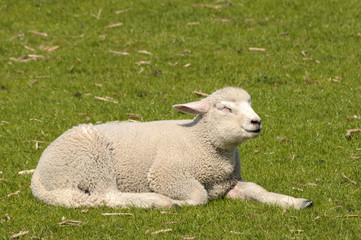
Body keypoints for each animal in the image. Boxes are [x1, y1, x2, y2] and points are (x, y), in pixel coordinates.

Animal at [31, 87, 312, 209]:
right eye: (225, 108)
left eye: (250, 103)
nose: (256, 122)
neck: (200, 141)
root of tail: (38, 173)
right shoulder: (166, 174)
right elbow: (199, 196)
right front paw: (179, 202)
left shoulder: (229, 183)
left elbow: (257, 189)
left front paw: (296, 201)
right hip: (92, 161)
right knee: (108, 195)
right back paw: (158, 201)